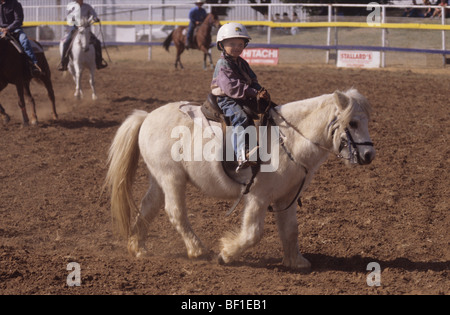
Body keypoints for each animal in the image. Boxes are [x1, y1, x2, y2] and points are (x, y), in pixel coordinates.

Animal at [103, 88, 374, 272]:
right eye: (353, 122)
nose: (369, 155)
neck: (287, 138)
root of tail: (147, 117)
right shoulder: (257, 196)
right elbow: (253, 233)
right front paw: (226, 254)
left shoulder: (286, 197)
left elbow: (290, 230)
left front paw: (296, 261)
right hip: (172, 179)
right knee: (175, 211)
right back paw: (197, 249)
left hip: (159, 179)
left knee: (148, 206)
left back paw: (138, 247)